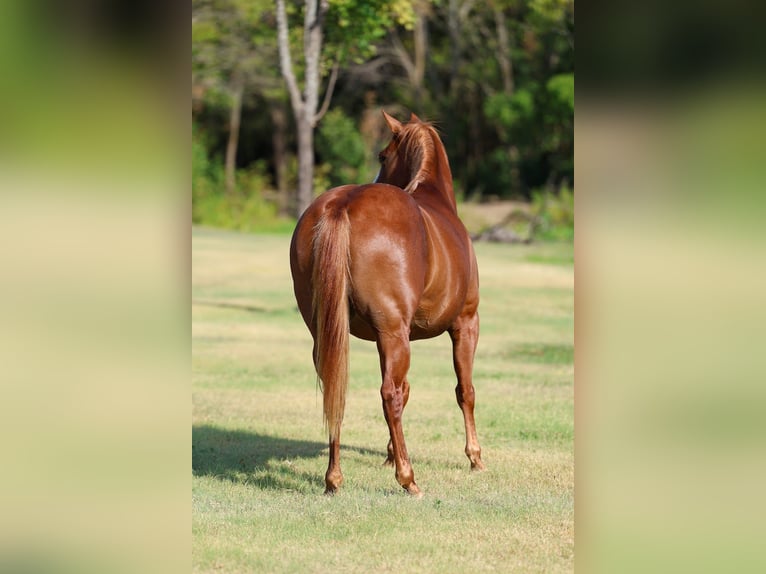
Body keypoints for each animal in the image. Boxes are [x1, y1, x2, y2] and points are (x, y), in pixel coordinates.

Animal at [289, 111, 485, 496]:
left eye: (381, 156)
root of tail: (343, 204)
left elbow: (409, 391)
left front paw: (391, 454)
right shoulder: (465, 324)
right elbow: (464, 391)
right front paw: (474, 457)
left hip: (330, 333)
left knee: (336, 389)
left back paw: (333, 479)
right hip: (394, 331)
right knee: (389, 395)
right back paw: (409, 480)